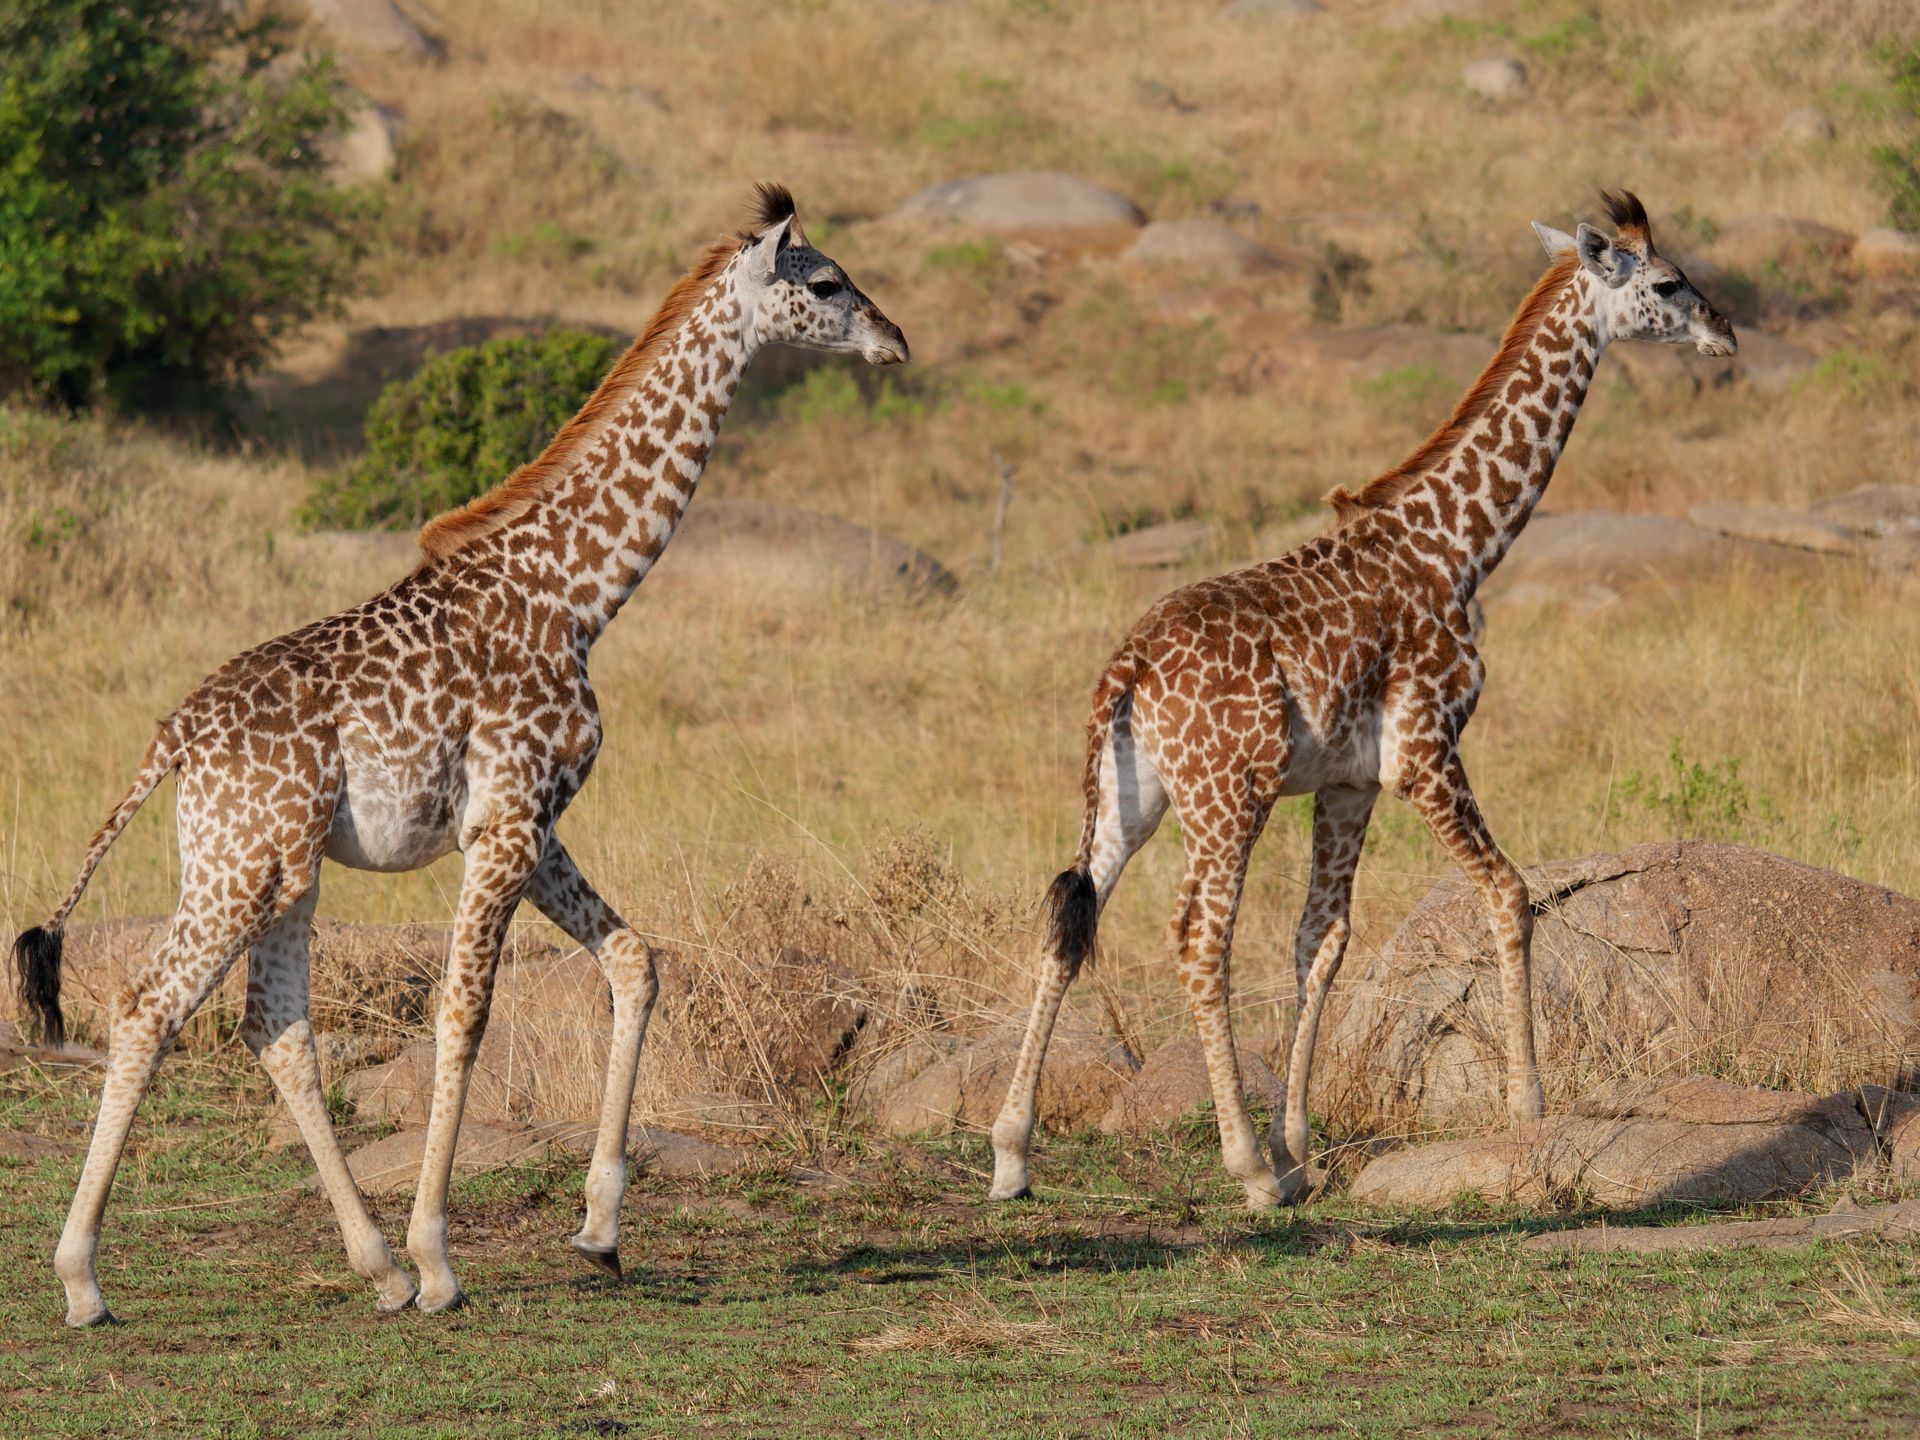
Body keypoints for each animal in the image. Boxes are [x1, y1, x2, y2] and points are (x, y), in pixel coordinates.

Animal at [10, 185, 908, 1326]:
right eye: (827, 282)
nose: (895, 341)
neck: (575, 595)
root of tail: (172, 738)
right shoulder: (511, 818)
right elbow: (464, 1012)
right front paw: (441, 1256)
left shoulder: (529, 820)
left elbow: (635, 960)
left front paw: (598, 1231)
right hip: (242, 864)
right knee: (147, 1009)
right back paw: (86, 1280)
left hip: (279, 868)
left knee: (276, 1027)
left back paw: (374, 1270)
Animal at [988, 191, 1735, 1209]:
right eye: (1667, 282)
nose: (1725, 333)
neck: (1457, 545)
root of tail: (1127, 669)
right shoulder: (1426, 751)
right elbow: (1510, 893)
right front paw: (1528, 1108)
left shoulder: (1349, 783)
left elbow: (1322, 941)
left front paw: (1300, 1148)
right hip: (1228, 798)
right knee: (1197, 941)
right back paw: (1243, 1169)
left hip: (1130, 799)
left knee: (1071, 923)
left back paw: (1012, 1154)